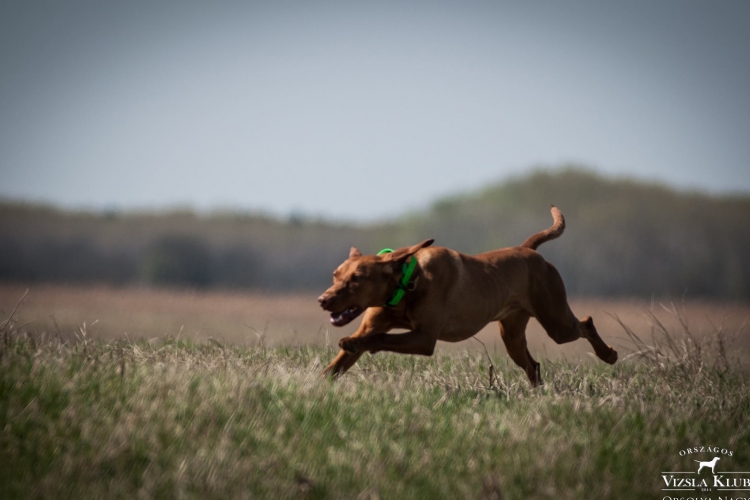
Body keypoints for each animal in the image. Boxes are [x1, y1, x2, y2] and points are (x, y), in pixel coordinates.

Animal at [318, 205, 616, 384]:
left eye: (357, 278)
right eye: (335, 274)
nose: (323, 300)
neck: (408, 283)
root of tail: (529, 250)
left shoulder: (424, 338)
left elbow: (378, 338)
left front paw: (354, 342)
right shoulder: (377, 323)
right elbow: (338, 363)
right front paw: (317, 384)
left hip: (556, 322)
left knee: (585, 323)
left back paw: (608, 355)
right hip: (512, 335)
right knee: (533, 365)